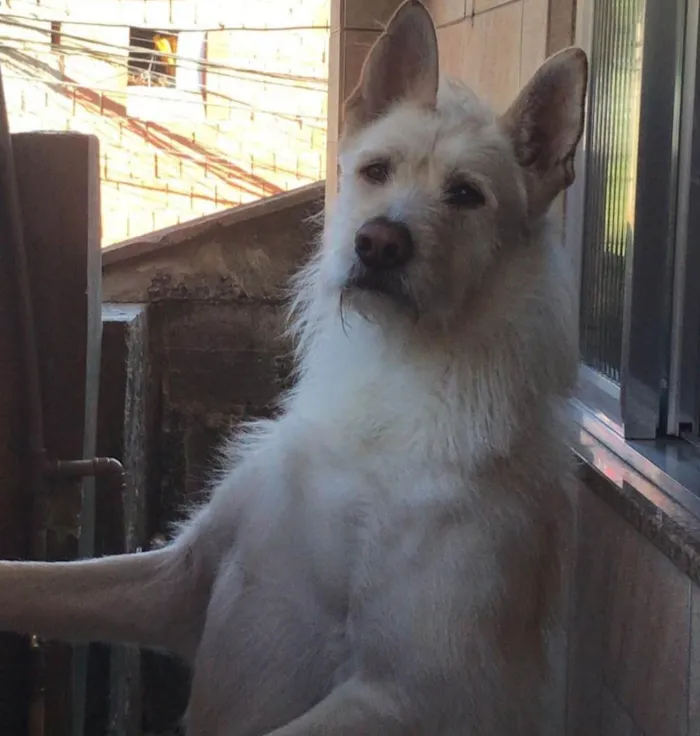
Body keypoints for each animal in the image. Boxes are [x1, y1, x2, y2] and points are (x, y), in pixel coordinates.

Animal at [0, 2, 588, 732]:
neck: (391, 373)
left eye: (466, 195)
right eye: (375, 171)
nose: (379, 243)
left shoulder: (406, 693)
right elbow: (36, 580)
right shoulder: (181, 578)